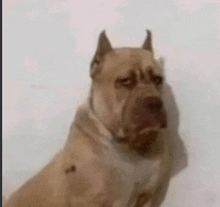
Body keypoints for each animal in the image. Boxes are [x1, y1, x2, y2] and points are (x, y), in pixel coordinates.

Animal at [3, 29, 172, 206]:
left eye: (158, 79)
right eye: (125, 81)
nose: (155, 102)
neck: (130, 146)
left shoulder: (146, 197)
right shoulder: (88, 200)